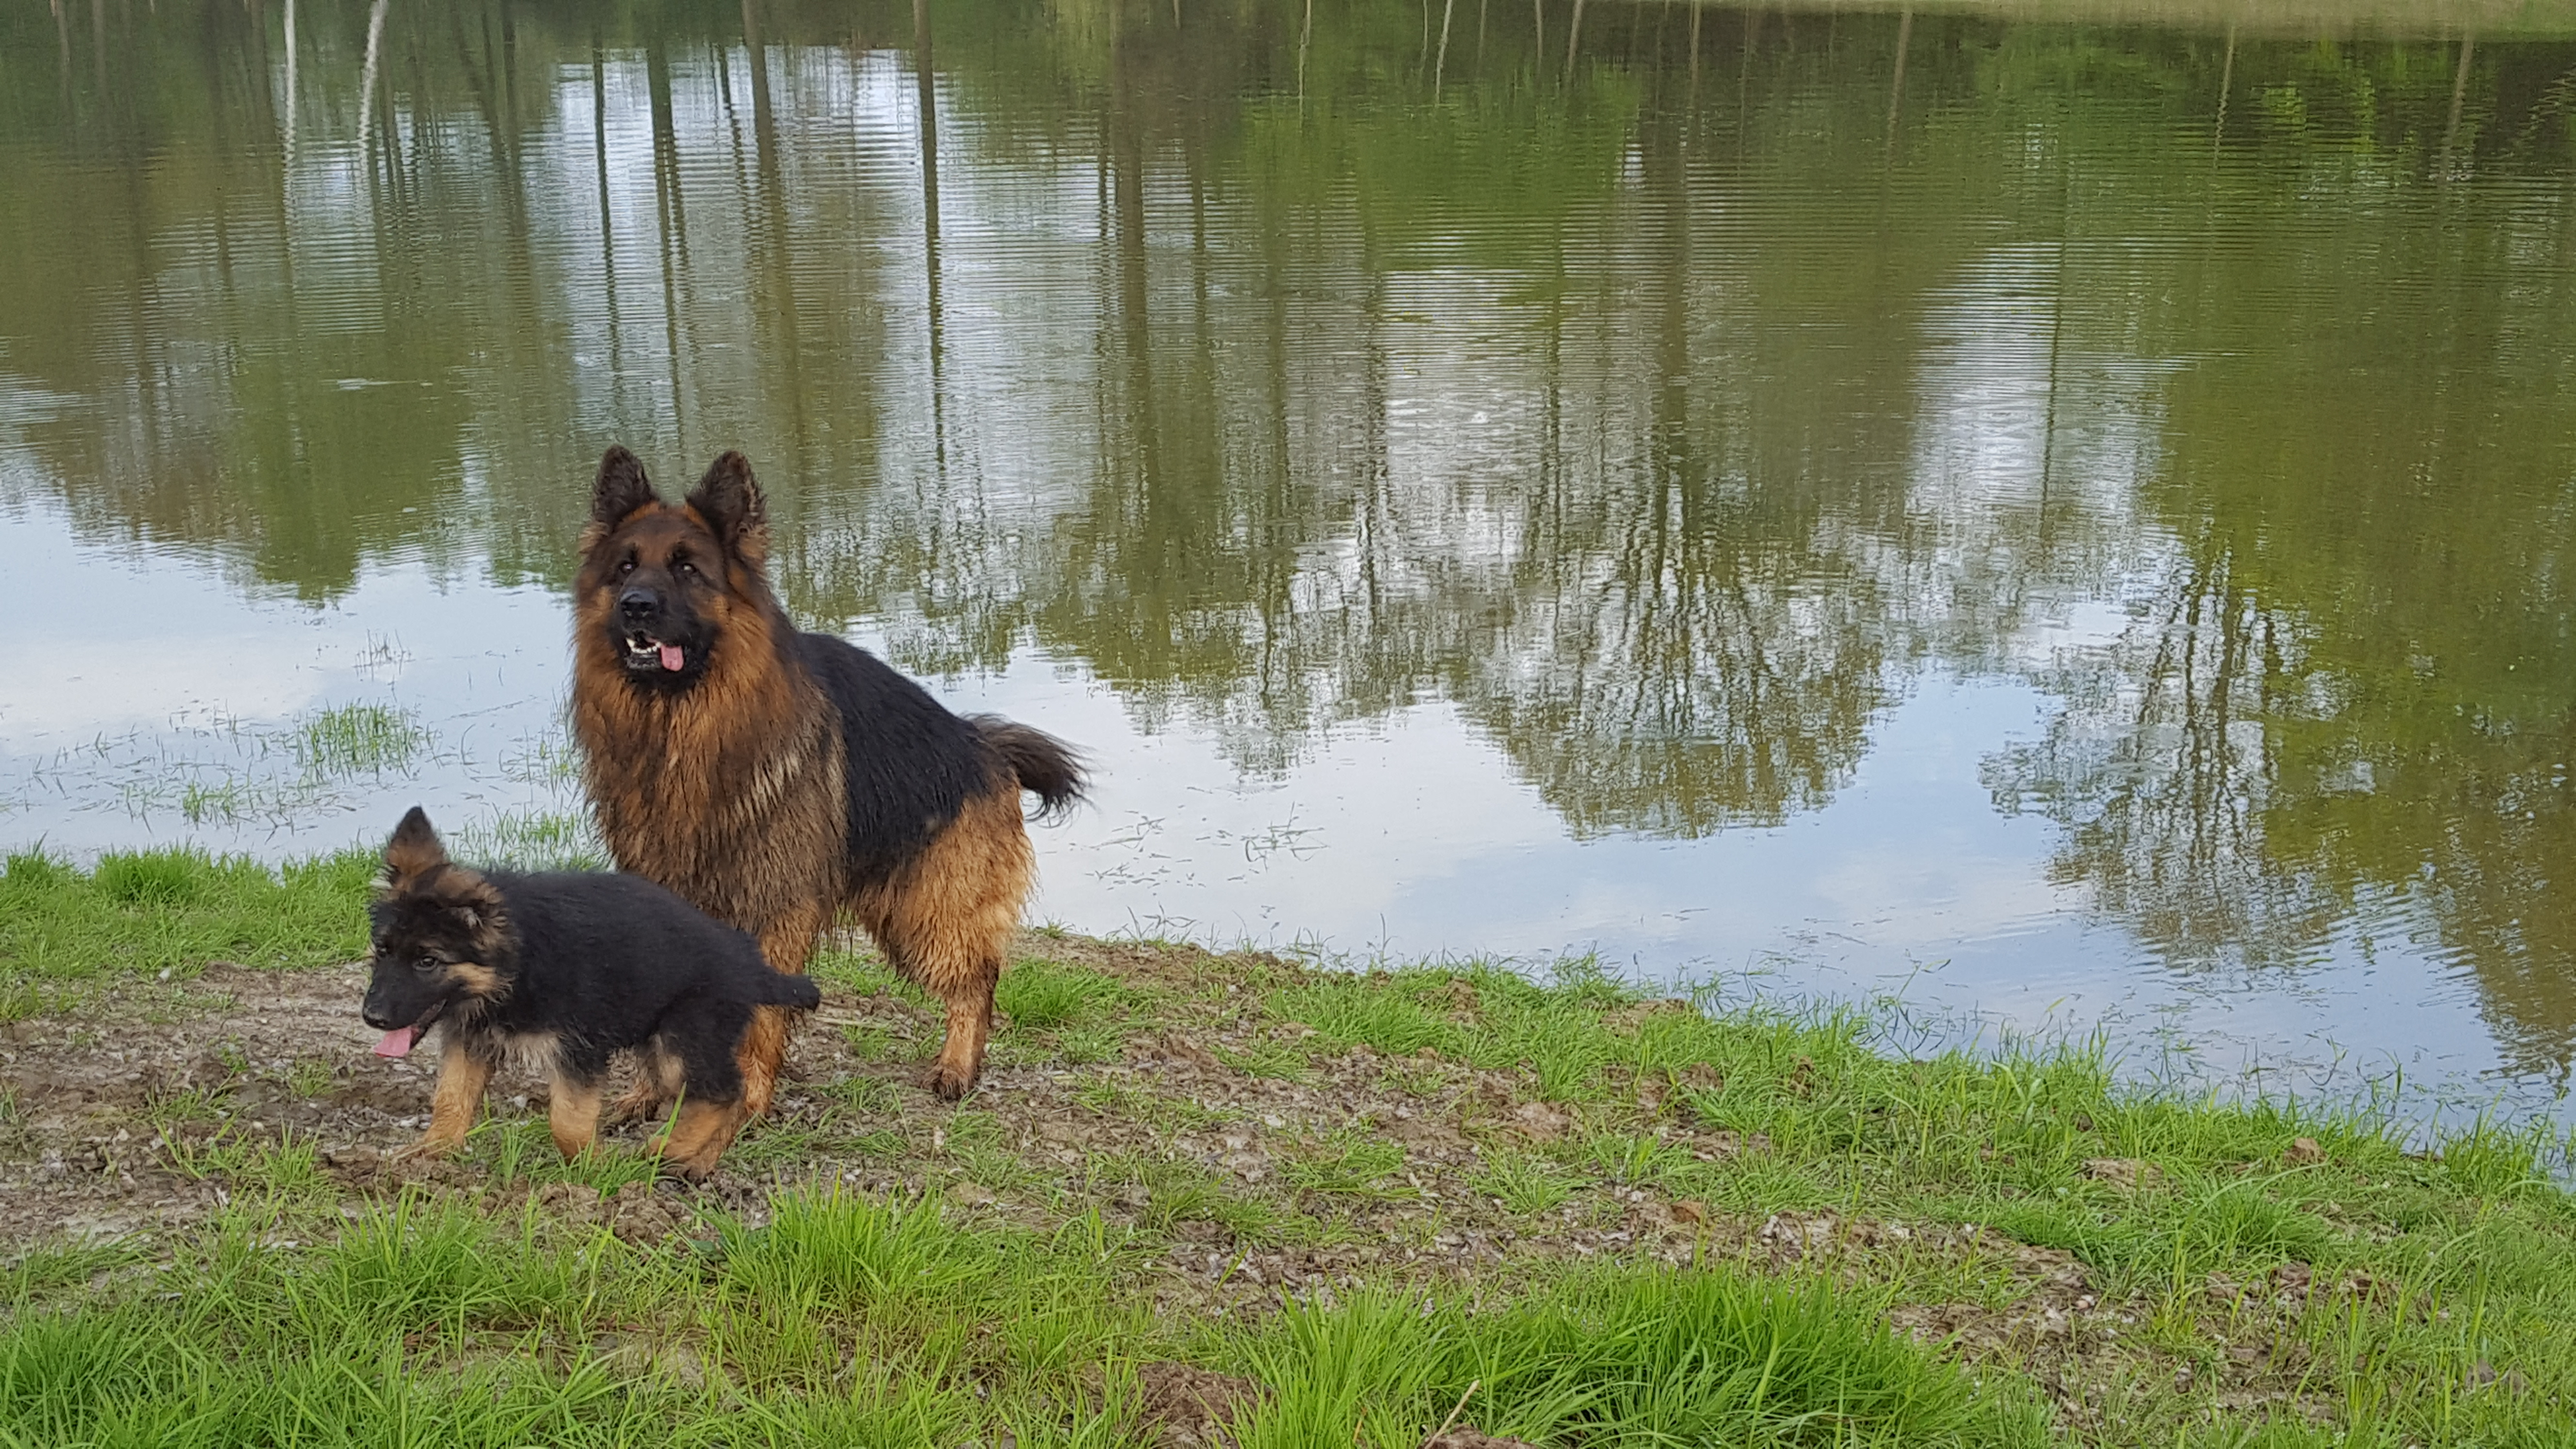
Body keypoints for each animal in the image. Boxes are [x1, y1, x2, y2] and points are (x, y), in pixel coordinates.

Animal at [359, 806, 822, 1179]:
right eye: (382, 951)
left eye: (427, 962)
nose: (372, 1018)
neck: (517, 966)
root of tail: (750, 961)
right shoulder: (471, 1039)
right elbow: (451, 1099)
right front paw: (430, 1151)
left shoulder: (577, 1049)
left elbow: (567, 1122)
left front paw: (594, 1166)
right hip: (658, 1040)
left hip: (686, 1033)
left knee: (724, 1092)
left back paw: (668, 1149)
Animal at [569, 446, 1084, 1108]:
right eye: (625, 566)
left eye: (686, 568)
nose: (636, 605)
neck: (686, 727)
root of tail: (981, 742)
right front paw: (652, 1093)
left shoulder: (775, 905)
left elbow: (763, 1010)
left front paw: (748, 1100)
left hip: (923, 909)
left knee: (976, 981)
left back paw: (957, 1067)